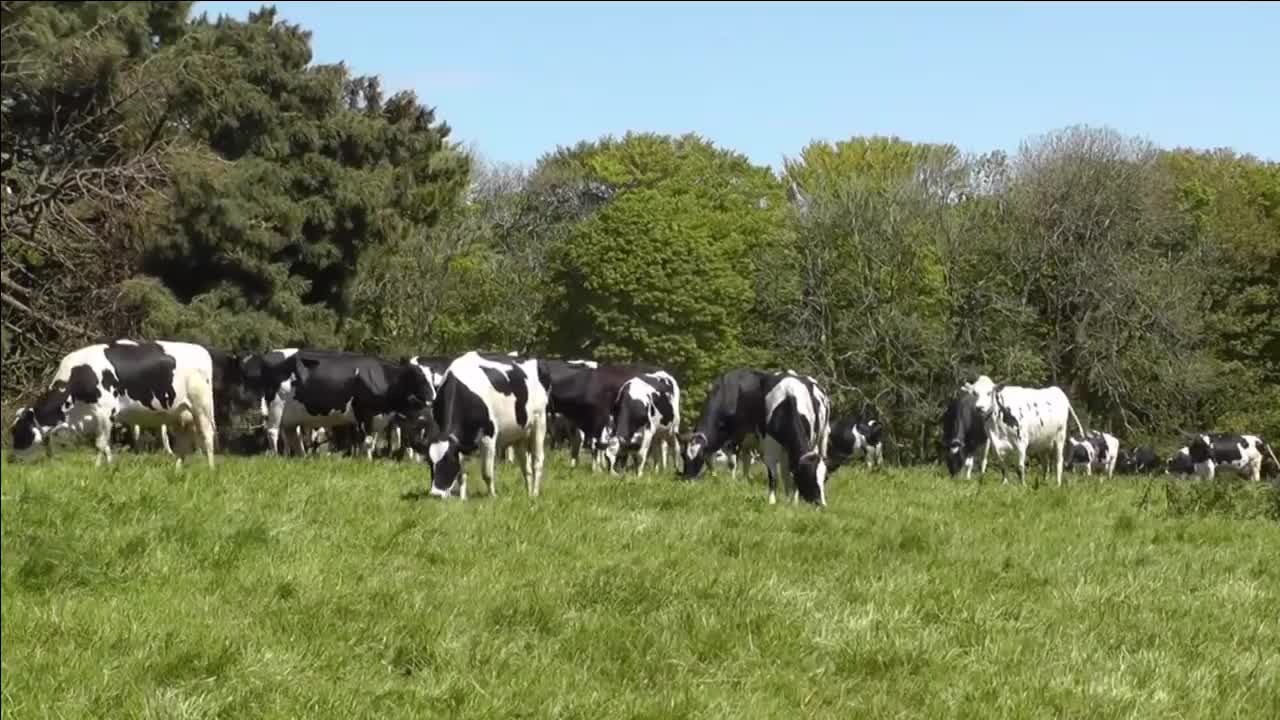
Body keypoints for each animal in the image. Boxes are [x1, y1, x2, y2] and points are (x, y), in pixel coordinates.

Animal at [10, 340, 217, 468]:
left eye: (17, 432)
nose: (11, 459)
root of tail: (201, 350)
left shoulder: (104, 409)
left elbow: (100, 443)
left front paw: (97, 467)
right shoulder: (98, 416)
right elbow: (105, 444)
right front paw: (110, 465)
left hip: (201, 407)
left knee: (207, 435)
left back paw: (211, 468)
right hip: (180, 413)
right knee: (183, 441)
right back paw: (178, 467)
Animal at [239, 345, 435, 456]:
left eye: (432, 377)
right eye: (418, 378)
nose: (433, 397)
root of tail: (269, 355)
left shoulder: (372, 418)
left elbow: (366, 442)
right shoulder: (364, 413)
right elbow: (367, 442)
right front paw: (366, 462)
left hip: (291, 414)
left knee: (292, 435)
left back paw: (302, 458)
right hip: (276, 406)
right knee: (272, 432)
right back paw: (277, 457)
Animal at [427, 348, 547, 497]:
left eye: (449, 461)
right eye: (430, 463)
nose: (435, 494)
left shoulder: (488, 436)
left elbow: (487, 473)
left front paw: (492, 496)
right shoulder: (460, 442)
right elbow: (462, 474)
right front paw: (462, 498)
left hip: (539, 421)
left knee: (537, 461)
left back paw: (535, 493)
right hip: (520, 433)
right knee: (526, 466)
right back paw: (529, 493)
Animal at [757, 368, 829, 504]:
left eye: (825, 479)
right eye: (808, 477)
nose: (821, 504)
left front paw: (794, 502)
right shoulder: (770, 445)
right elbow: (773, 475)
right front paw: (772, 501)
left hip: (823, 435)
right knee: (785, 471)